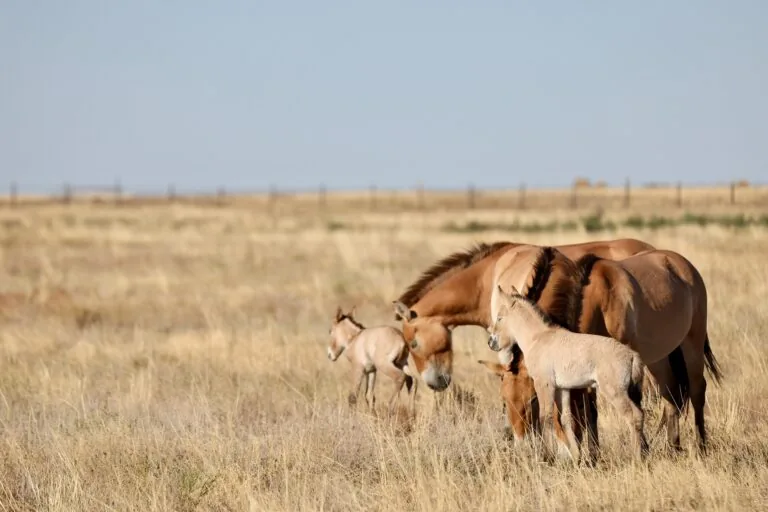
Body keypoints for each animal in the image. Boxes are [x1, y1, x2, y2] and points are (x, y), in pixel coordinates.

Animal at [488, 284, 649, 461]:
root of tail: (632, 355)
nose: (491, 342)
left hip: (615, 392)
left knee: (633, 416)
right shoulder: (562, 388)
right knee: (640, 414)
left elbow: (546, 417)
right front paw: (575, 457)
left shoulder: (544, 383)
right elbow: (565, 418)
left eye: (500, 318)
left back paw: (636, 458)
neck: (538, 338)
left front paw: (549, 457)